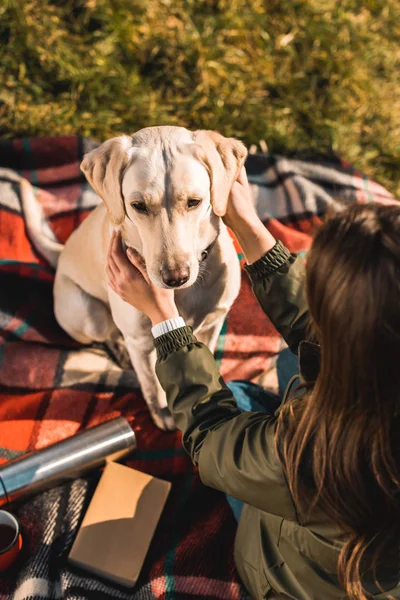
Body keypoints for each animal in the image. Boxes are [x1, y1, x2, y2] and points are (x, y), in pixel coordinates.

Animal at [22, 126, 247, 428]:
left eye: (194, 202)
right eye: (138, 205)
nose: (175, 277)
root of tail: (62, 252)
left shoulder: (214, 323)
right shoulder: (141, 343)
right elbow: (151, 382)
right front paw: (162, 412)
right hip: (89, 315)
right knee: (106, 332)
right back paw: (118, 347)